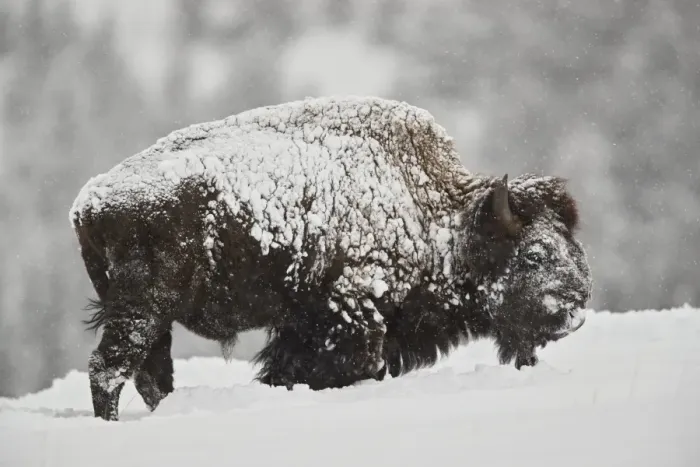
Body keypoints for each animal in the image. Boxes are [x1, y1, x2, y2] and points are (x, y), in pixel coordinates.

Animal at [69, 96, 592, 421]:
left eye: (572, 245)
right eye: (533, 254)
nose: (575, 309)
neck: (433, 213)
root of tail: (89, 203)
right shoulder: (347, 321)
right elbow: (327, 368)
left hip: (152, 317)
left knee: (149, 375)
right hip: (143, 309)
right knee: (110, 370)